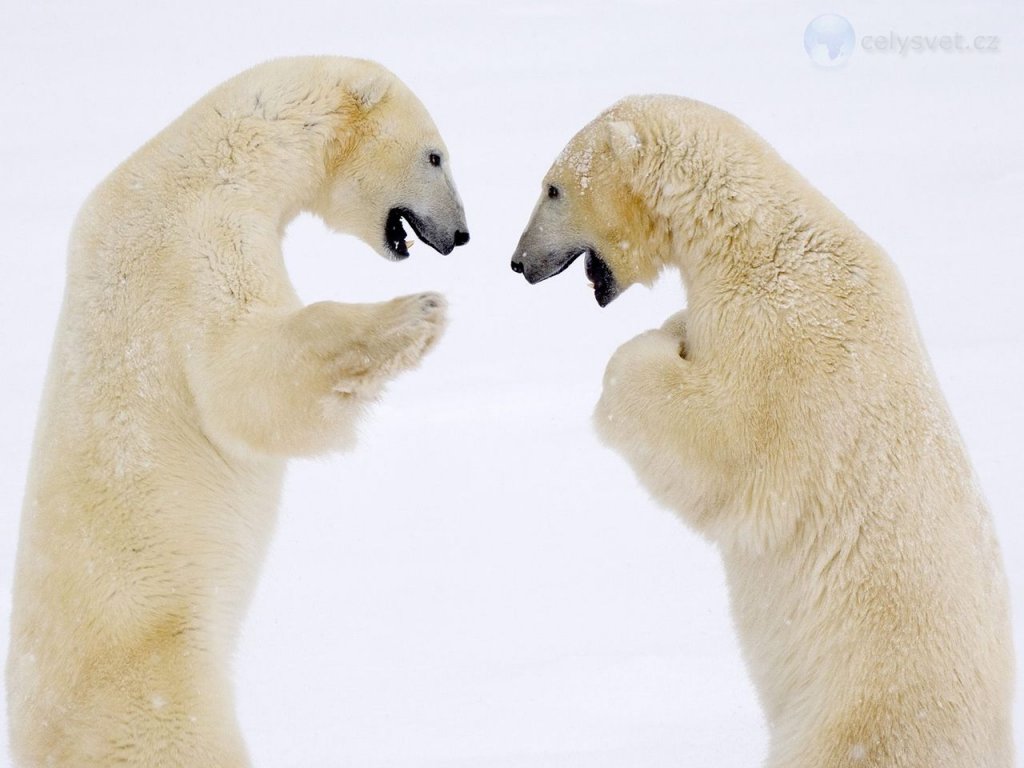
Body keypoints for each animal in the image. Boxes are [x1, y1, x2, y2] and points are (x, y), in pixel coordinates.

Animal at [6, 57, 468, 765]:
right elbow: (241, 380)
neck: (214, 157)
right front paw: (415, 313)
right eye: (436, 154)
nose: (462, 233)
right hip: (157, 688)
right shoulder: (195, 241)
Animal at [512, 96, 1015, 768]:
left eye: (553, 189)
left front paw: (648, 350)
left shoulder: (784, 339)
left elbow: (727, 444)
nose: (518, 263)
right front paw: (675, 327)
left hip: (862, 715)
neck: (753, 239)